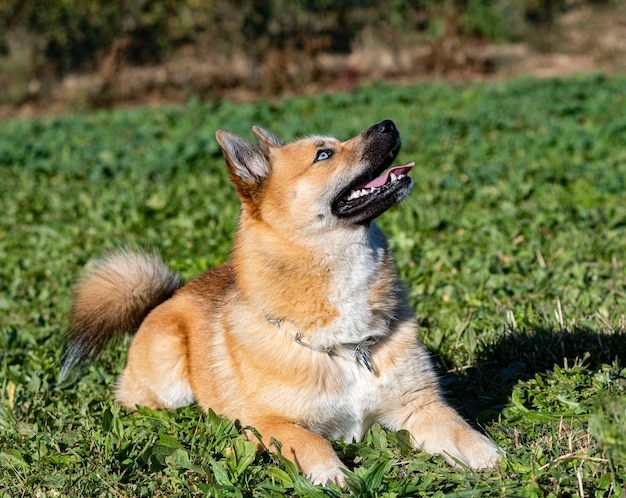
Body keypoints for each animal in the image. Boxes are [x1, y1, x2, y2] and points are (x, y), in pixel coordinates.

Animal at [62, 119, 498, 486]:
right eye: (324, 154)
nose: (388, 123)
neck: (346, 346)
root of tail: (167, 297)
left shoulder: (417, 407)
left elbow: (460, 428)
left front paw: (492, 459)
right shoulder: (269, 424)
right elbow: (312, 441)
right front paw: (332, 474)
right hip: (168, 385)